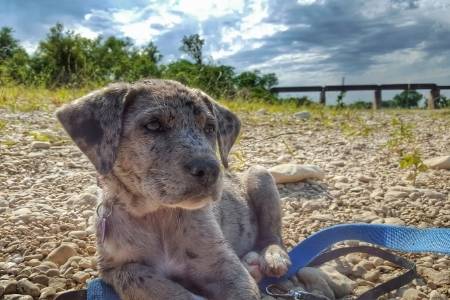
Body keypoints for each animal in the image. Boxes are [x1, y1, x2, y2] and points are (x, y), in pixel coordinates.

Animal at [57, 78, 292, 298]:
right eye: (153, 125)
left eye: (210, 128)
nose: (210, 170)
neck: (158, 214)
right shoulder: (113, 268)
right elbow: (146, 281)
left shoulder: (226, 266)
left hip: (261, 175)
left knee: (273, 234)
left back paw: (273, 257)